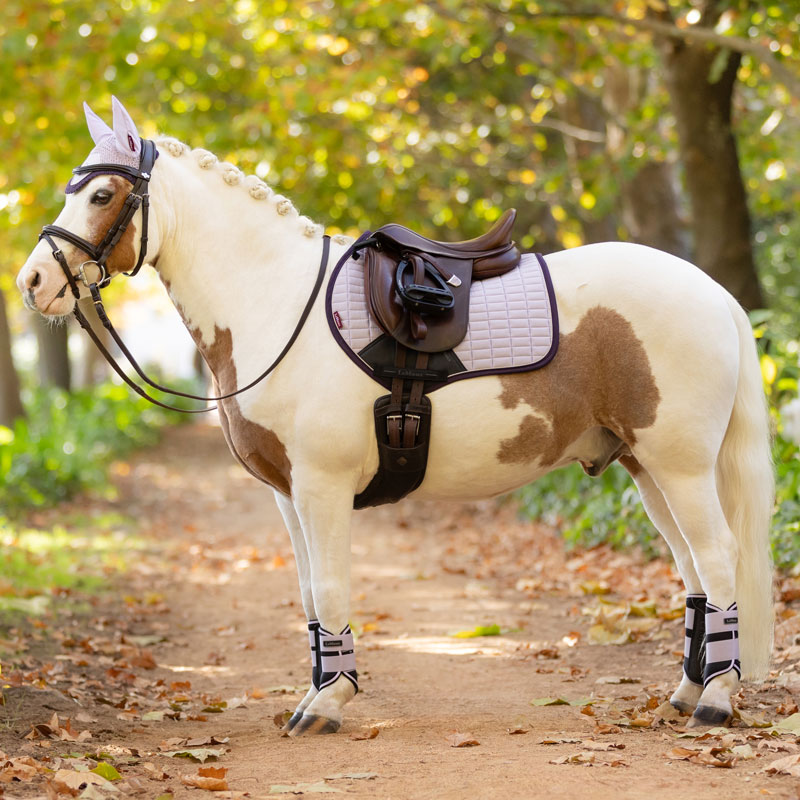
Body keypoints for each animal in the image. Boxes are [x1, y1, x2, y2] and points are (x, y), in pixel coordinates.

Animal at [17, 97, 774, 736]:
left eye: (103, 194)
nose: (33, 282)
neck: (277, 300)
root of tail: (712, 291)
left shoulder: (321, 488)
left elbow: (330, 589)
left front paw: (327, 705)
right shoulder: (288, 496)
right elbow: (309, 596)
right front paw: (320, 692)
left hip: (680, 467)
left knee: (718, 558)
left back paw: (715, 699)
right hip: (647, 469)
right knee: (695, 572)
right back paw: (686, 691)